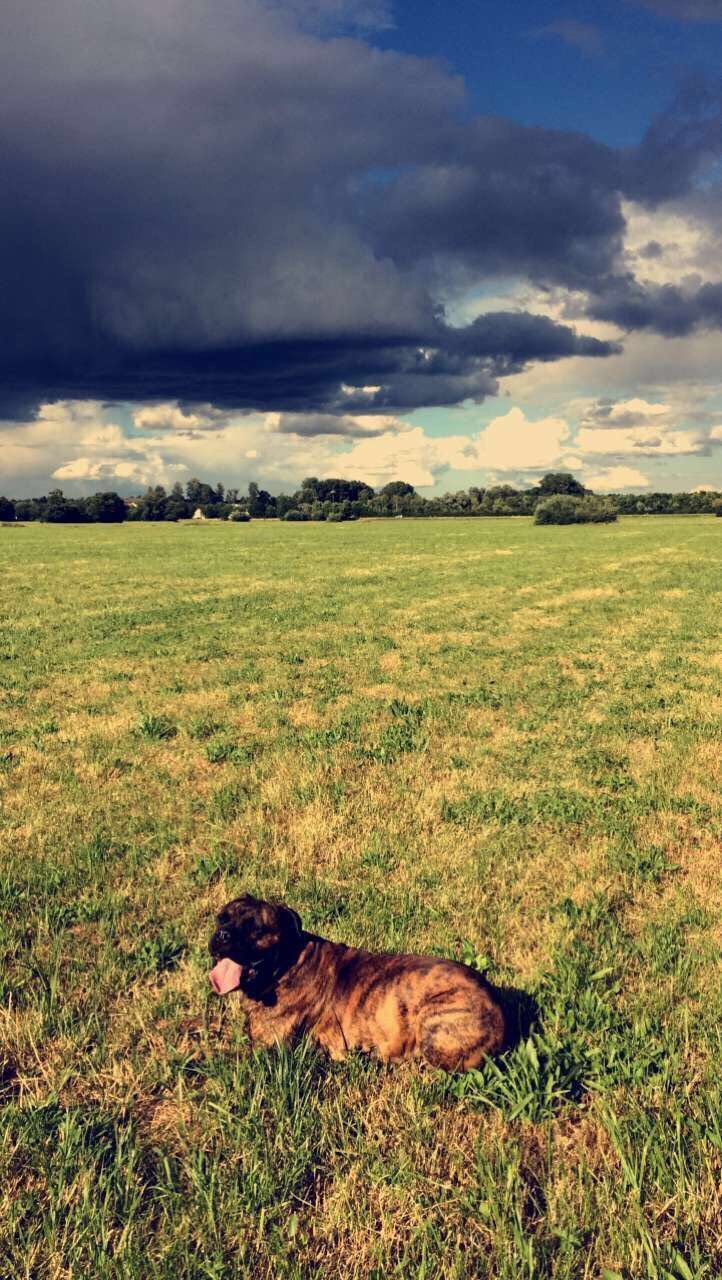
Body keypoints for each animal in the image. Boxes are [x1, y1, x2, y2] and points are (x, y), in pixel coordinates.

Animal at [206, 896, 504, 1075]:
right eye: (221, 918)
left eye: (255, 928)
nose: (222, 935)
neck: (286, 963)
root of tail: (499, 1007)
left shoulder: (266, 1051)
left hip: (434, 1022)